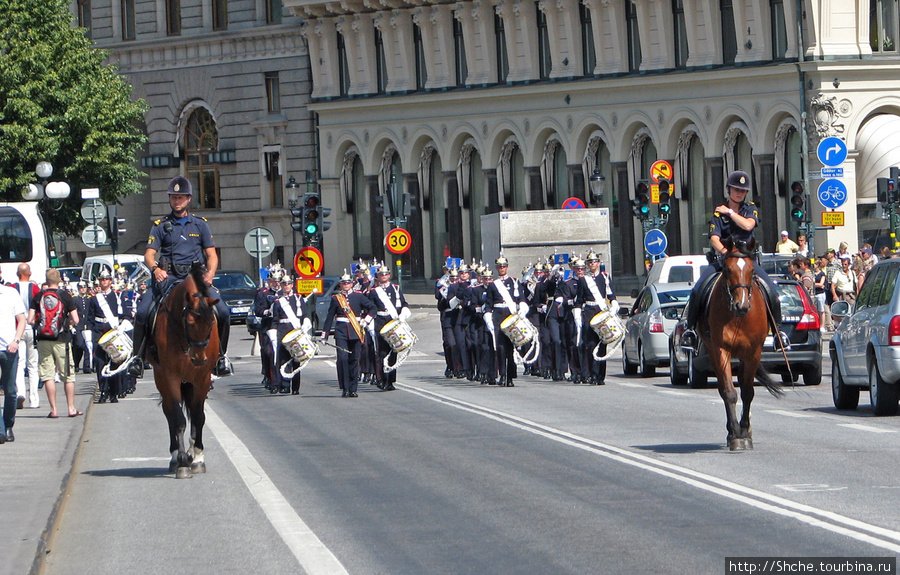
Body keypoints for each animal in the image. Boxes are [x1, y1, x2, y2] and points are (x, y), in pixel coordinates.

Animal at [151, 264, 220, 476]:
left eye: (211, 323)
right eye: (189, 322)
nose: (199, 359)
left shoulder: (202, 379)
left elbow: (198, 417)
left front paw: (197, 458)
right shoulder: (170, 377)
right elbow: (178, 419)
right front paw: (182, 462)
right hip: (161, 379)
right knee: (169, 413)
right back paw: (176, 456)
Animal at [704, 237, 780, 450]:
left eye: (752, 271)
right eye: (728, 270)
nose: (742, 305)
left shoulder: (753, 353)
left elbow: (747, 392)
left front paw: (745, 432)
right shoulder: (720, 350)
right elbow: (729, 392)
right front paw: (736, 435)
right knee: (723, 388)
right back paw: (731, 430)